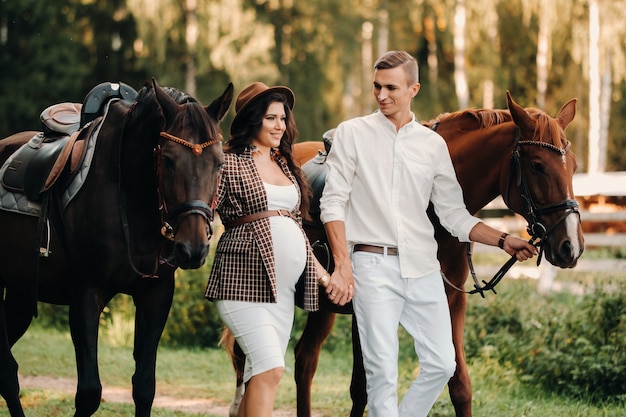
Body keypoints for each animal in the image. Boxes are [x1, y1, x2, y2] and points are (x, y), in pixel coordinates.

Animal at [0, 79, 233, 416]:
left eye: (219, 163)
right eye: (168, 160)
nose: (194, 248)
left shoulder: (156, 295)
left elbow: (145, 388)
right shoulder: (86, 293)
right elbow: (89, 393)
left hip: (19, 293)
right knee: (7, 373)